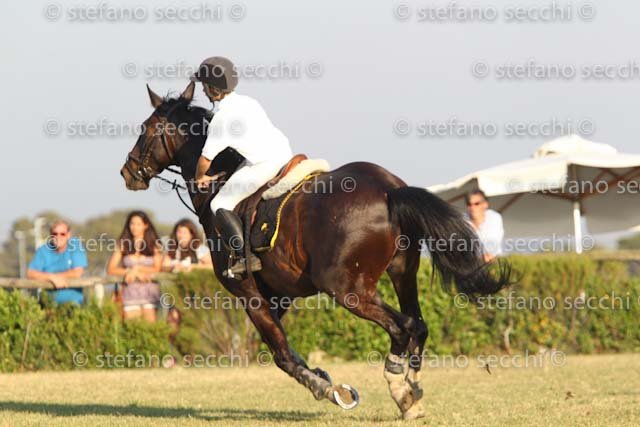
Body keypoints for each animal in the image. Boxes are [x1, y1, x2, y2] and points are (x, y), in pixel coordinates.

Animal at [120, 82, 513, 420]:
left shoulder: (248, 292)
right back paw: (412, 390)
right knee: (419, 324)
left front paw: (328, 389)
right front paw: (323, 376)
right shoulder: (280, 294)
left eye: (145, 128)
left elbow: (281, 354)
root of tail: (390, 190)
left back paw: (399, 388)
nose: (128, 172)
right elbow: (283, 347)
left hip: (346, 288)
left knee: (403, 327)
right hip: (402, 272)